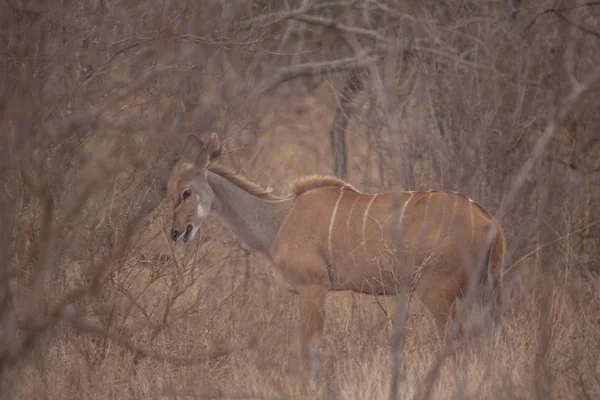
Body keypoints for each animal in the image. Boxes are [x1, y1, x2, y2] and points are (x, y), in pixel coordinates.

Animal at [166, 133, 504, 380]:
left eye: (186, 192)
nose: (176, 233)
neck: (279, 220)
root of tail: (490, 221)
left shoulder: (313, 287)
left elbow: (308, 347)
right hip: (480, 291)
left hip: (437, 292)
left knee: (455, 341)